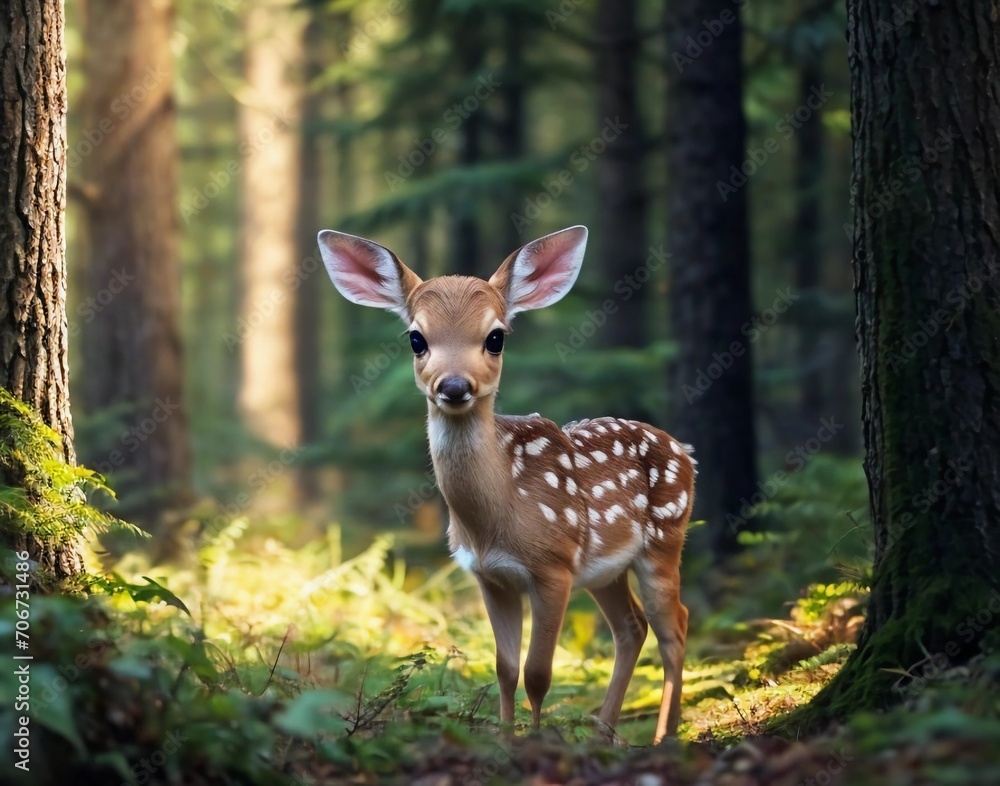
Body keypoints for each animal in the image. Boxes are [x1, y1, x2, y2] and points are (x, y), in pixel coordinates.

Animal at [317, 225, 695, 743]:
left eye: (495, 337)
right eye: (416, 338)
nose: (454, 386)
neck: (496, 515)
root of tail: (686, 450)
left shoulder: (553, 565)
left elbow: (538, 674)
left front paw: (535, 743)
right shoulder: (489, 575)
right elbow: (504, 669)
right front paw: (505, 740)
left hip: (664, 538)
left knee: (674, 625)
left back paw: (663, 737)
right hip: (605, 568)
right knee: (632, 627)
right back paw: (604, 732)